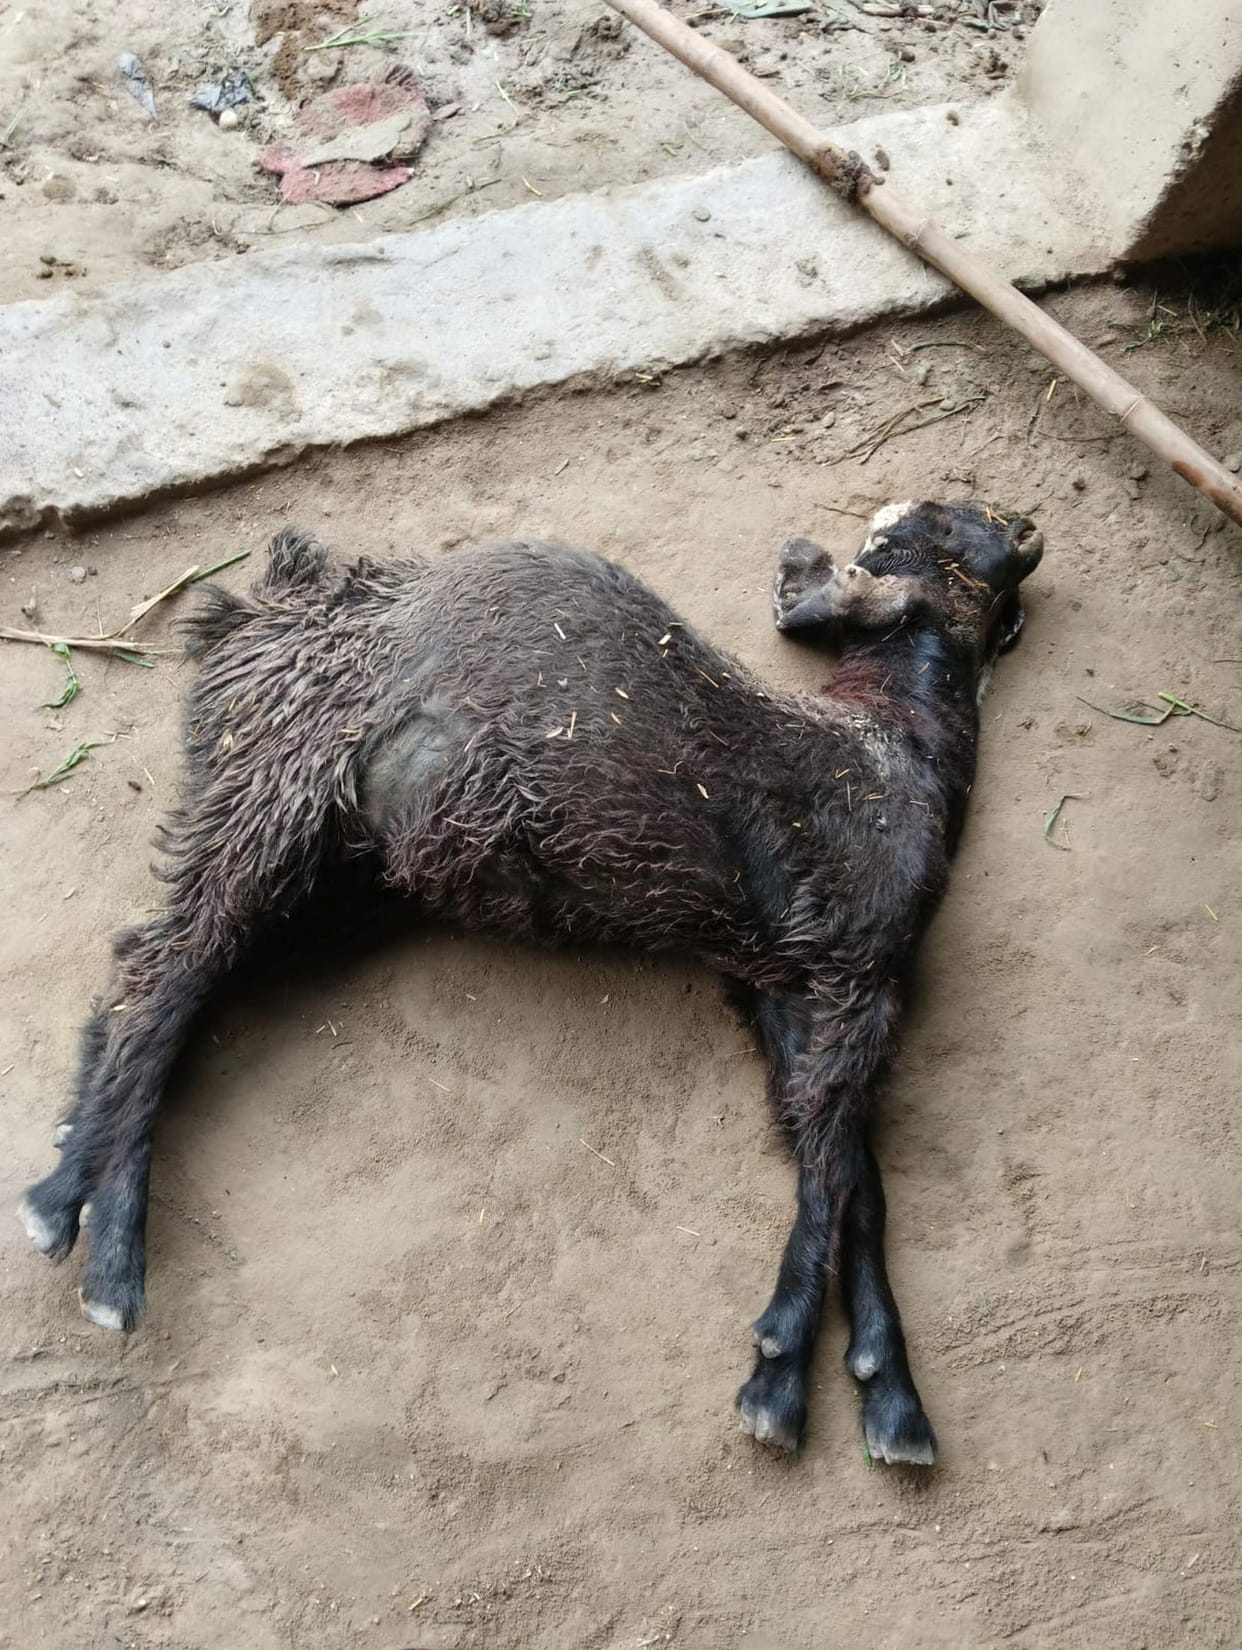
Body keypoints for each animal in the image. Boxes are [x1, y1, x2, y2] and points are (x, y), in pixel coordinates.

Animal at [19, 500, 1042, 1463]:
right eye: (940, 530)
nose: (1028, 530)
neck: (895, 740)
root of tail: (264, 608)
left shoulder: (783, 983)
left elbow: (854, 1178)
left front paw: (888, 1392)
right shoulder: (858, 971)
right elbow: (833, 1169)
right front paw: (783, 1378)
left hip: (339, 878)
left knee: (163, 975)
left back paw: (83, 1171)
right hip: (274, 792)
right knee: (162, 970)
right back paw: (87, 1234)